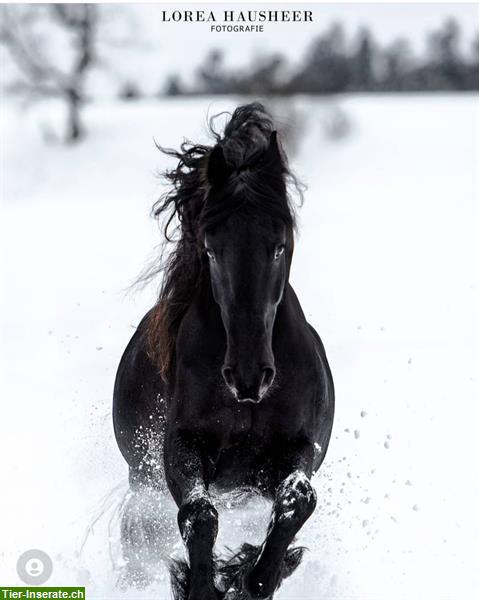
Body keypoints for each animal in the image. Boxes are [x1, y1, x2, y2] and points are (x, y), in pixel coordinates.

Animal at [114, 104, 336, 600]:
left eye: (279, 246)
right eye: (212, 249)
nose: (249, 377)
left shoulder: (296, 451)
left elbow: (297, 502)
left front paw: (252, 577)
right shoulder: (179, 448)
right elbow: (199, 517)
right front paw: (202, 585)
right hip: (142, 482)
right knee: (140, 537)